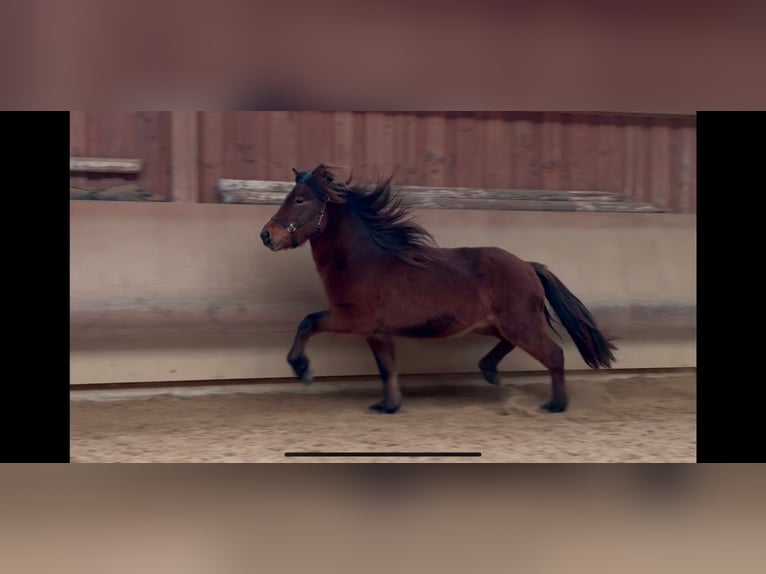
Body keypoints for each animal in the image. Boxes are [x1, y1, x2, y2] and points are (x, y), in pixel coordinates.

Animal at [262, 165, 616, 414]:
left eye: (299, 199)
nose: (267, 236)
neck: (363, 260)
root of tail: (529, 265)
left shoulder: (352, 319)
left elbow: (308, 322)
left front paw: (303, 370)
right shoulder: (376, 330)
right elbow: (386, 367)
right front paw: (388, 406)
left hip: (519, 323)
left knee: (553, 354)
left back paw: (555, 405)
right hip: (494, 323)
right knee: (512, 344)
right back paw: (490, 372)